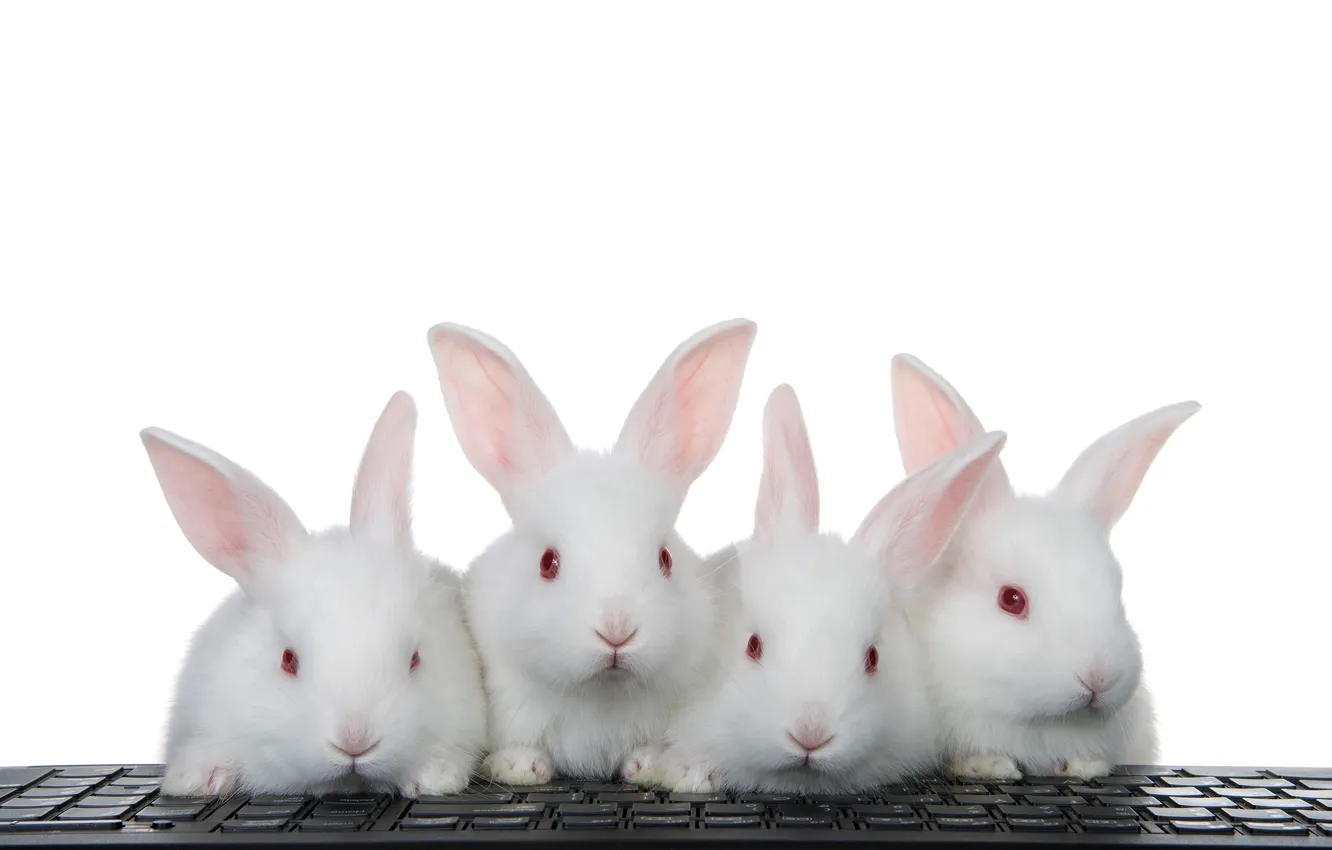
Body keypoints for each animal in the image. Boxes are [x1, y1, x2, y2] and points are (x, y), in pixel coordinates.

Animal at [426, 319, 758, 785]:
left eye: (665, 559)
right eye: (548, 563)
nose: (616, 629)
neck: (601, 696)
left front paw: (647, 765)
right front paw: (519, 766)